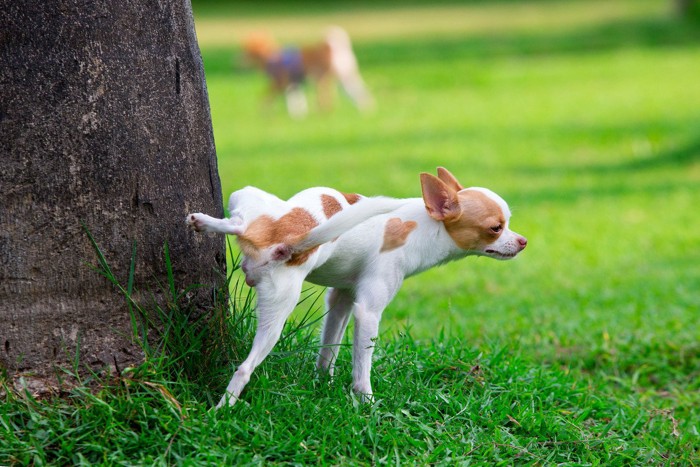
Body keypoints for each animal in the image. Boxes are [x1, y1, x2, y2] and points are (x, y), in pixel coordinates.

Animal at [186, 166, 524, 408]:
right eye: (496, 228)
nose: (523, 241)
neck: (424, 225)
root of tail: (289, 241)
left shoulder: (341, 300)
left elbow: (329, 349)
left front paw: (322, 384)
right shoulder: (368, 312)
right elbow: (363, 367)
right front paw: (367, 405)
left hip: (266, 265)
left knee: (240, 224)